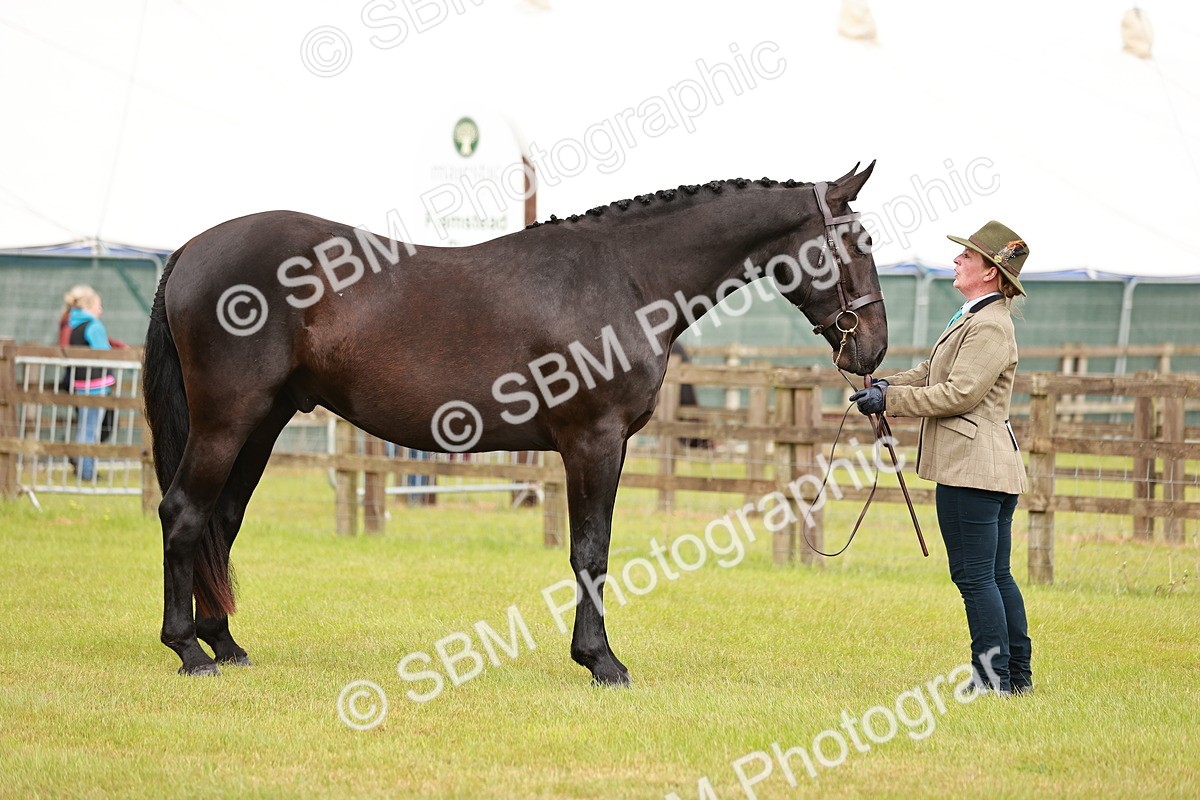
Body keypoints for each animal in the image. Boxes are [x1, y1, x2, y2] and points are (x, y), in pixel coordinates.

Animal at [142, 162, 887, 683]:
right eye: (858, 241)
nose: (872, 350)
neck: (627, 277)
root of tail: (191, 250)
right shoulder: (594, 441)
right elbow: (591, 551)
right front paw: (601, 662)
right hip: (227, 420)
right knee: (183, 513)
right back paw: (188, 650)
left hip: (263, 423)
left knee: (220, 520)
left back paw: (225, 643)